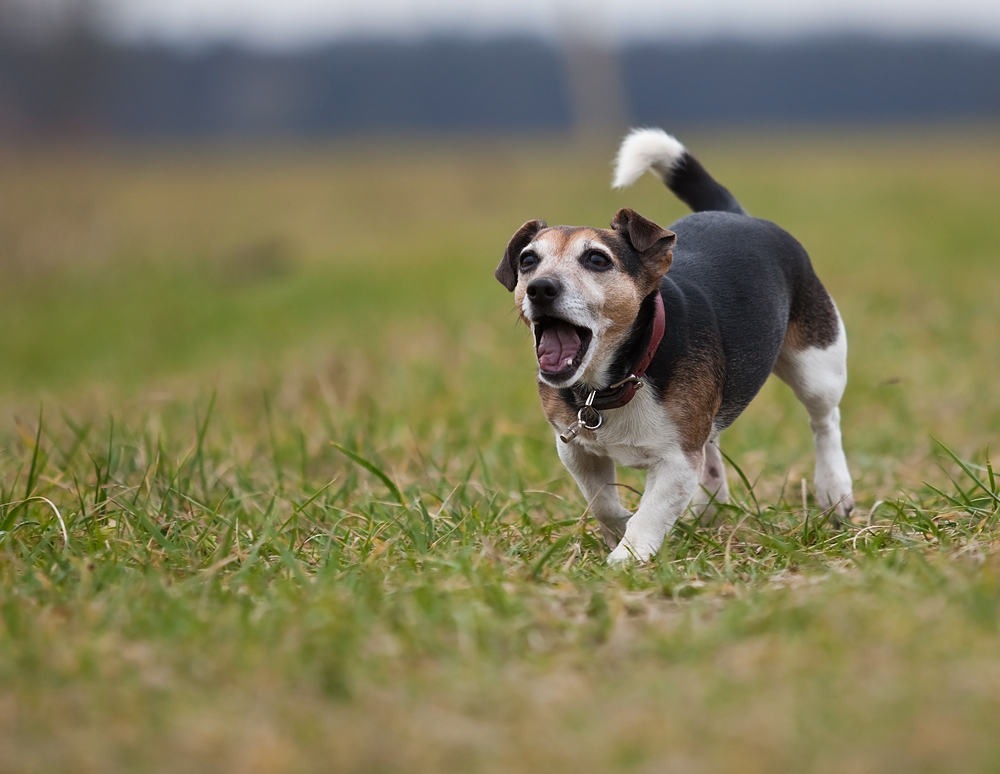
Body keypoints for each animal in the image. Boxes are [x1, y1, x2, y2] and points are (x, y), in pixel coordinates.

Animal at [496, 127, 856, 564]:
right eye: (528, 260)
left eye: (597, 260)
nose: (540, 288)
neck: (620, 377)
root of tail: (734, 213)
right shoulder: (576, 449)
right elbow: (603, 503)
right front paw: (618, 530)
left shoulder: (677, 460)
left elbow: (650, 513)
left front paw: (625, 560)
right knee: (714, 443)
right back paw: (711, 504)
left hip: (817, 365)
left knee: (825, 421)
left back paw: (834, 491)